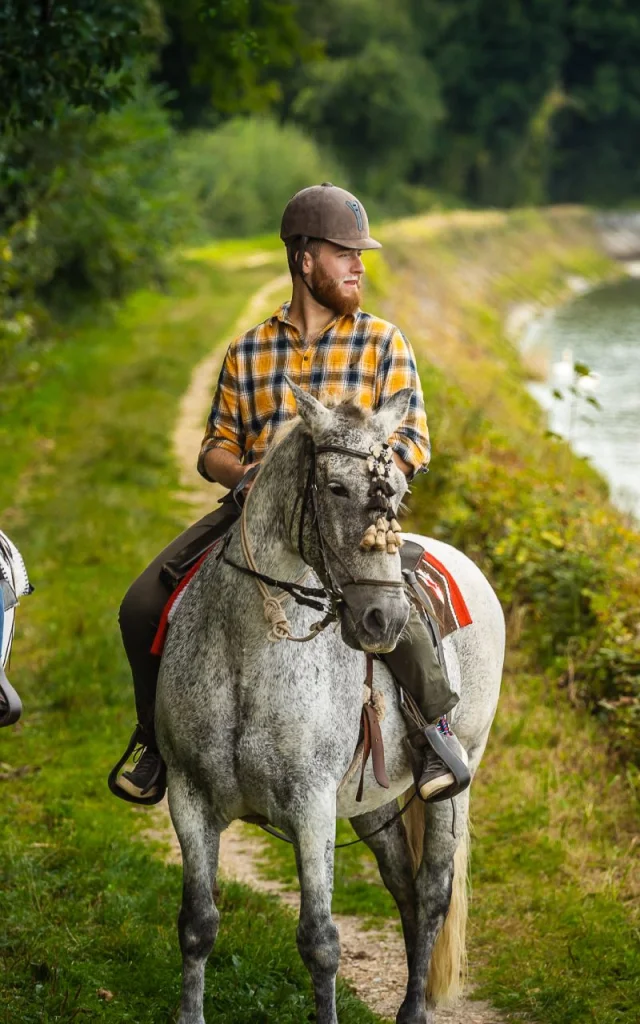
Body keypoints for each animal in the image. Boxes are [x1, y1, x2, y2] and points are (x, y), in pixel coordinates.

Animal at [155, 385, 503, 1024]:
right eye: (336, 488)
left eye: (398, 492)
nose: (384, 620)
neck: (249, 650)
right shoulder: (189, 796)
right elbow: (197, 924)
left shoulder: (310, 805)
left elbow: (319, 941)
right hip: (373, 803)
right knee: (404, 888)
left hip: (456, 776)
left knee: (432, 892)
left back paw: (414, 1010)